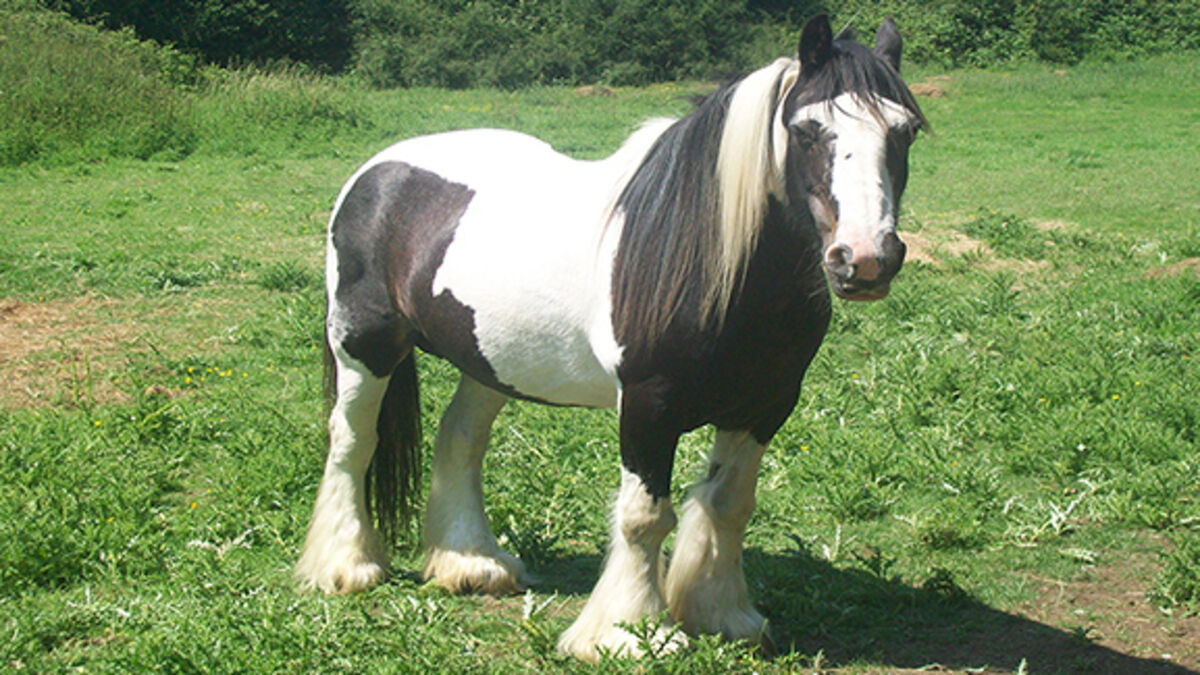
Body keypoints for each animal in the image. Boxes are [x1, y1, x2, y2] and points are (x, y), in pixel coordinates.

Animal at [295, 14, 926, 661]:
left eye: (904, 131)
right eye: (806, 130)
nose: (865, 260)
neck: (708, 259)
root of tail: (379, 170)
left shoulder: (765, 406)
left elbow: (728, 506)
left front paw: (723, 614)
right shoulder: (649, 405)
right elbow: (644, 517)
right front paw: (630, 633)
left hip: (488, 361)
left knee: (460, 440)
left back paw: (471, 563)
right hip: (364, 346)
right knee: (352, 441)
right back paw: (345, 567)